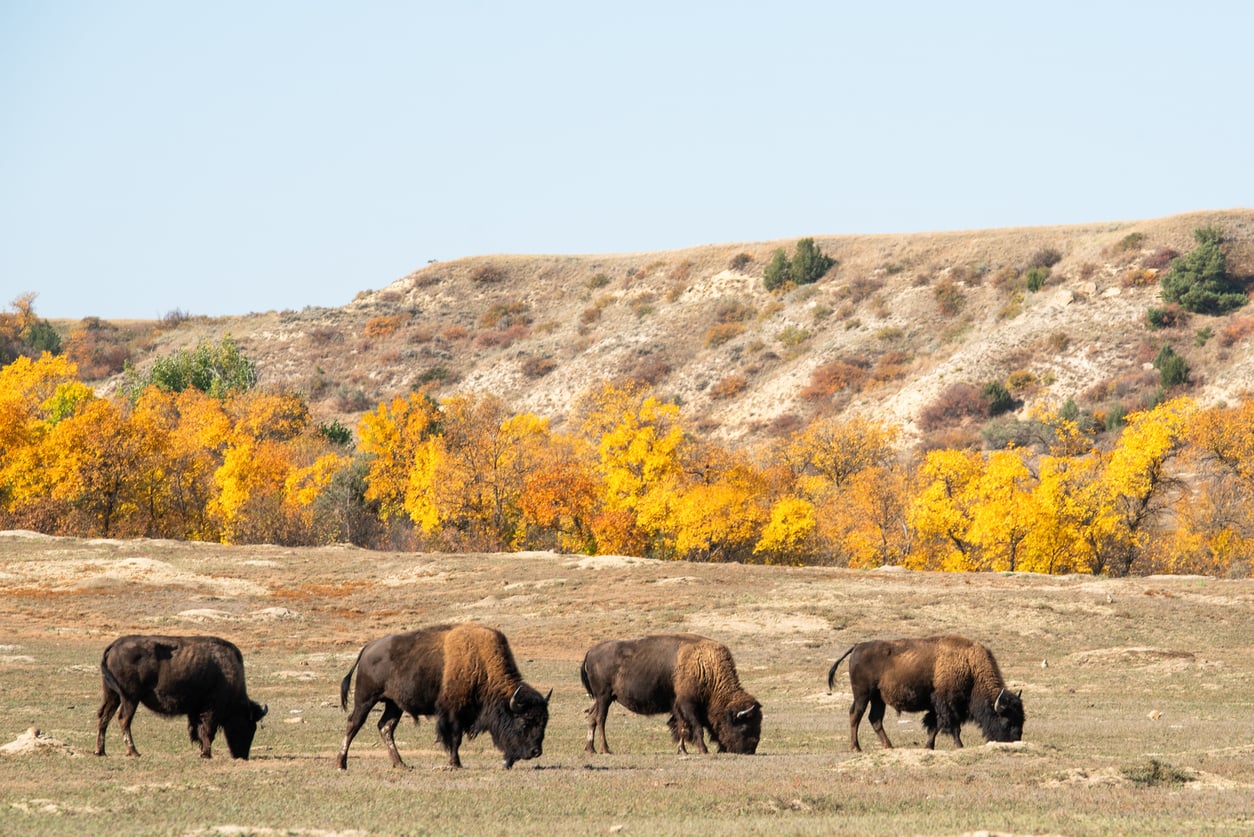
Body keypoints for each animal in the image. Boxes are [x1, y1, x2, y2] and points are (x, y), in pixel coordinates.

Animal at [95, 634, 268, 760]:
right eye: (249, 726)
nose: (242, 756)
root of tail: (114, 646)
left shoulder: (196, 711)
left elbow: (198, 730)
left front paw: (203, 751)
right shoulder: (211, 711)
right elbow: (207, 731)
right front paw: (206, 754)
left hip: (113, 695)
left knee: (104, 717)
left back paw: (100, 752)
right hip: (130, 698)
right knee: (123, 719)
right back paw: (133, 752)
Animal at [337, 622, 550, 770]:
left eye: (543, 722)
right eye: (524, 721)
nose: (536, 751)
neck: (481, 666)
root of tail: (368, 648)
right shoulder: (452, 714)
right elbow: (455, 738)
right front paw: (455, 763)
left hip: (394, 704)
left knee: (385, 727)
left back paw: (401, 764)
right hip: (365, 699)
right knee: (353, 723)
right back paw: (341, 763)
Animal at [581, 633, 762, 755]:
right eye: (744, 726)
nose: (750, 750)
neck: (706, 668)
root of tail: (590, 651)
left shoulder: (677, 706)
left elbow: (681, 727)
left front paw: (682, 750)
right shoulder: (688, 705)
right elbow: (695, 727)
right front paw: (703, 750)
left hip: (603, 698)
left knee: (592, 717)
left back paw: (591, 749)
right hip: (604, 696)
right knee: (600, 719)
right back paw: (605, 749)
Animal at [827, 634, 1024, 751]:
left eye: (1021, 719)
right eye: (1007, 720)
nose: (1015, 740)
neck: (969, 666)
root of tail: (857, 646)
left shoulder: (938, 707)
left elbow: (935, 726)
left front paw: (929, 746)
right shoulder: (948, 704)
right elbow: (952, 726)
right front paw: (959, 745)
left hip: (877, 698)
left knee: (875, 719)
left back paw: (889, 746)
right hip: (863, 695)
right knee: (855, 715)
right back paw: (856, 748)